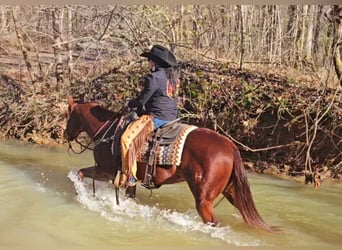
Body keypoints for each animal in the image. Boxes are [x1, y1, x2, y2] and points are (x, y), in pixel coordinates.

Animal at [65, 96, 278, 232]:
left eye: (68, 116)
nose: (66, 134)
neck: (109, 132)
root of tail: (230, 146)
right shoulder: (129, 180)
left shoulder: (106, 172)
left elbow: (80, 173)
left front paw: (82, 194)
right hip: (231, 191)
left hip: (204, 199)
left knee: (212, 222)